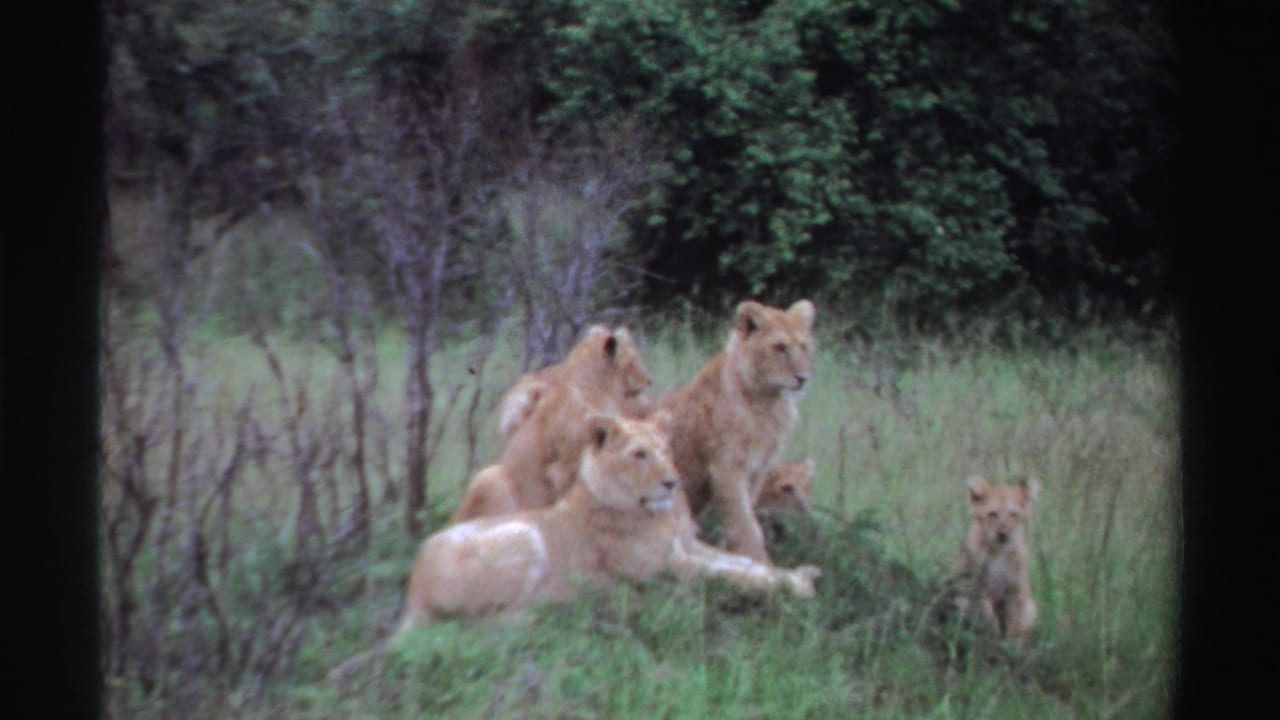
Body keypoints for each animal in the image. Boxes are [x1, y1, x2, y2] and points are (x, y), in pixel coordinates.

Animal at [405, 413, 821, 630]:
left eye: (666, 450)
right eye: (639, 455)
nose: (672, 482)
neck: (656, 514)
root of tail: (413, 586)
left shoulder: (687, 545)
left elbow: (742, 562)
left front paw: (797, 574)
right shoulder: (666, 567)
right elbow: (729, 574)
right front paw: (797, 586)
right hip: (523, 534)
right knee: (488, 623)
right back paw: (568, 607)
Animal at [655, 299, 815, 563]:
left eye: (804, 347)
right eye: (780, 348)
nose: (803, 378)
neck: (768, 403)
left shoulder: (757, 471)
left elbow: (742, 521)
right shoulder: (726, 470)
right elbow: (746, 526)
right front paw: (761, 564)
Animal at [954, 475, 1041, 642]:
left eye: (1013, 514)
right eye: (992, 514)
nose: (1003, 534)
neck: (999, 551)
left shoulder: (1016, 588)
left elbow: (1015, 619)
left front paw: (1011, 643)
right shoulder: (975, 584)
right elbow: (986, 611)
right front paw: (992, 633)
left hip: (1031, 606)